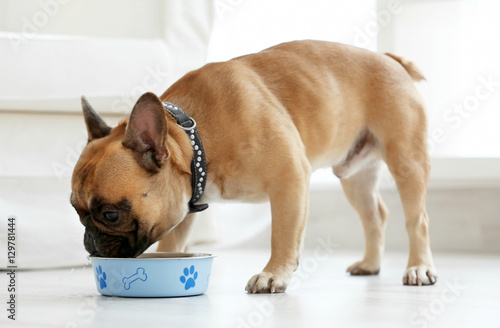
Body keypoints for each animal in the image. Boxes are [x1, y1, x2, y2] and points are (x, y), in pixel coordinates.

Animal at [71, 39, 438, 294]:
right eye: (76, 211)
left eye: (110, 215)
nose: (88, 240)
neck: (195, 139)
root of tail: (391, 60)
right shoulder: (181, 204)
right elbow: (172, 242)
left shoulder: (290, 179)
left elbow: (283, 235)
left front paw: (273, 274)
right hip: (355, 177)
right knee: (375, 215)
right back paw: (371, 265)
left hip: (407, 160)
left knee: (417, 220)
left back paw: (419, 268)